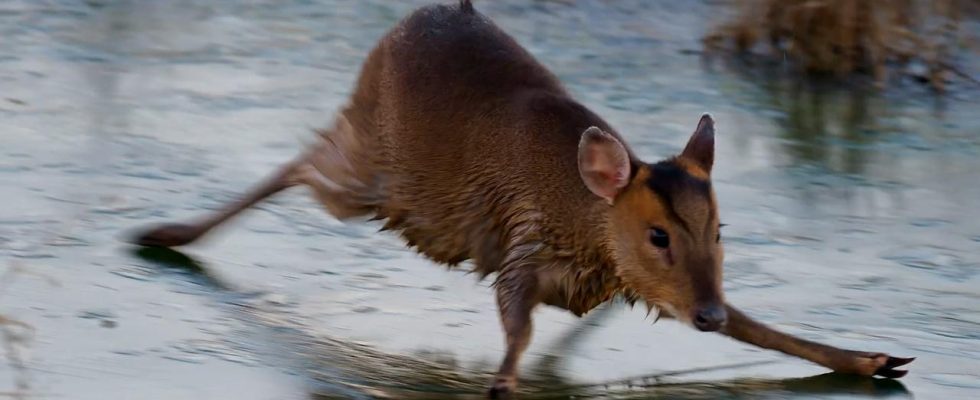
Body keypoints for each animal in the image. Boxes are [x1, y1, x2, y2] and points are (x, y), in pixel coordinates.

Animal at [128, 1, 912, 398]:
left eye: (720, 230)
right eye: (658, 235)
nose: (708, 313)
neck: (585, 224)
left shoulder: (641, 285)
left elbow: (766, 328)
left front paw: (873, 359)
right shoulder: (519, 252)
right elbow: (517, 327)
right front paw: (502, 384)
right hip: (374, 171)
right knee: (298, 161)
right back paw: (165, 233)